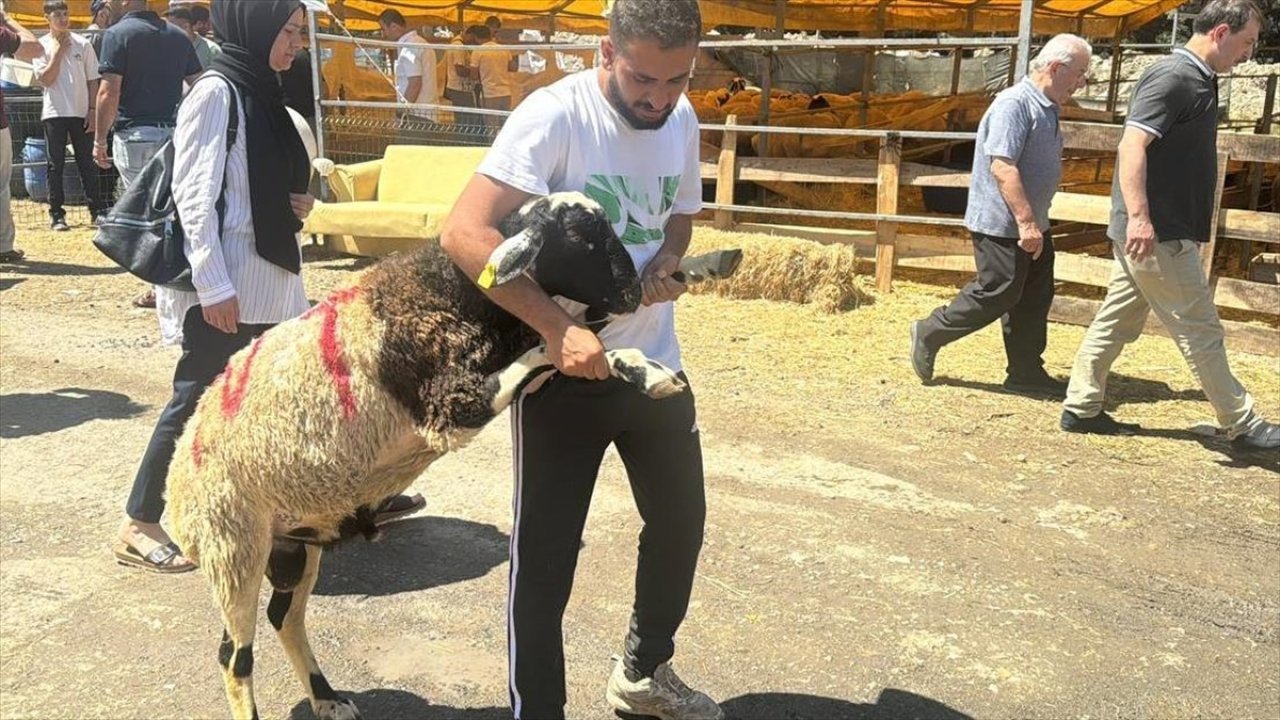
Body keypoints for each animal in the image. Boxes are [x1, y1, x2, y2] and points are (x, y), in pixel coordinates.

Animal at [166, 190, 701, 717]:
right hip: (233, 547)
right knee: (235, 657)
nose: (633, 291)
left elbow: (572, 350)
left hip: (294, 541)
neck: (461, 295)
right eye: (577, 235)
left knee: (285, 618)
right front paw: (632, 365)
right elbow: (554, 350)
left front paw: (651, 375)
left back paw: (329, 699)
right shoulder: (451, 406)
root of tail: (178, 477)